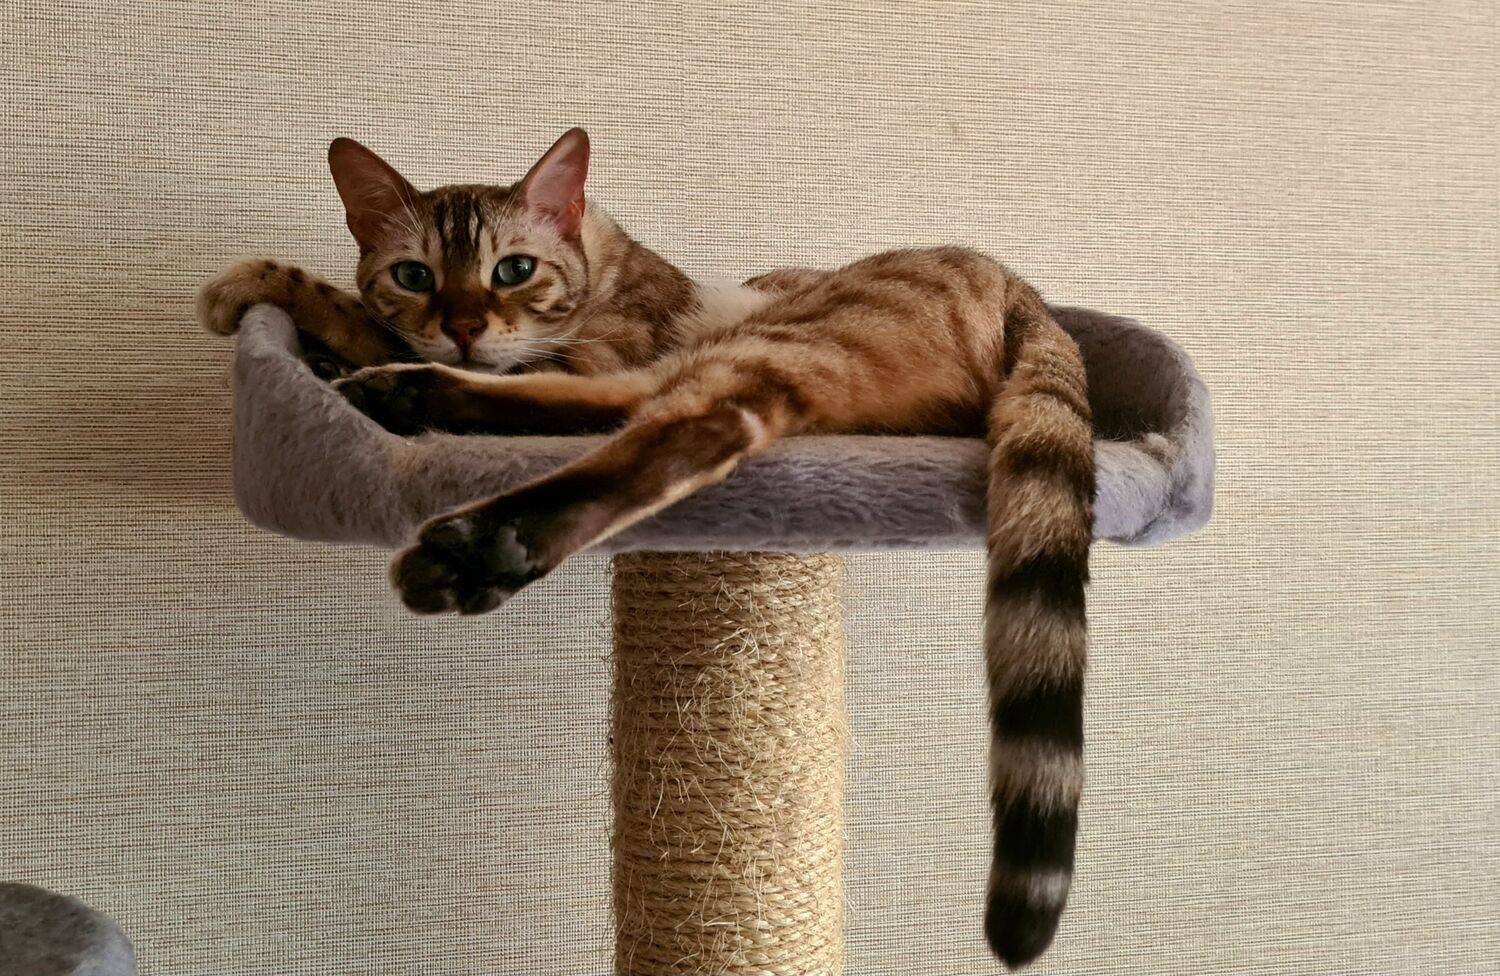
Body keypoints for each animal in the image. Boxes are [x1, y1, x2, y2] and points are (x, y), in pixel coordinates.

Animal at [198, 128, 1095, 969]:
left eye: (513, 270)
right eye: (415, 275)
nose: (462, 325)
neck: (602, 256)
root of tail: (1025, 291)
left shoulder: (584, 347)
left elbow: (356, 313)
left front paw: (255, 286)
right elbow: (398, 331)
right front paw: (330, 342)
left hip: (783, 339)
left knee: (688, 425)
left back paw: (478, 531)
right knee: (633, 411)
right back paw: (404, 402)